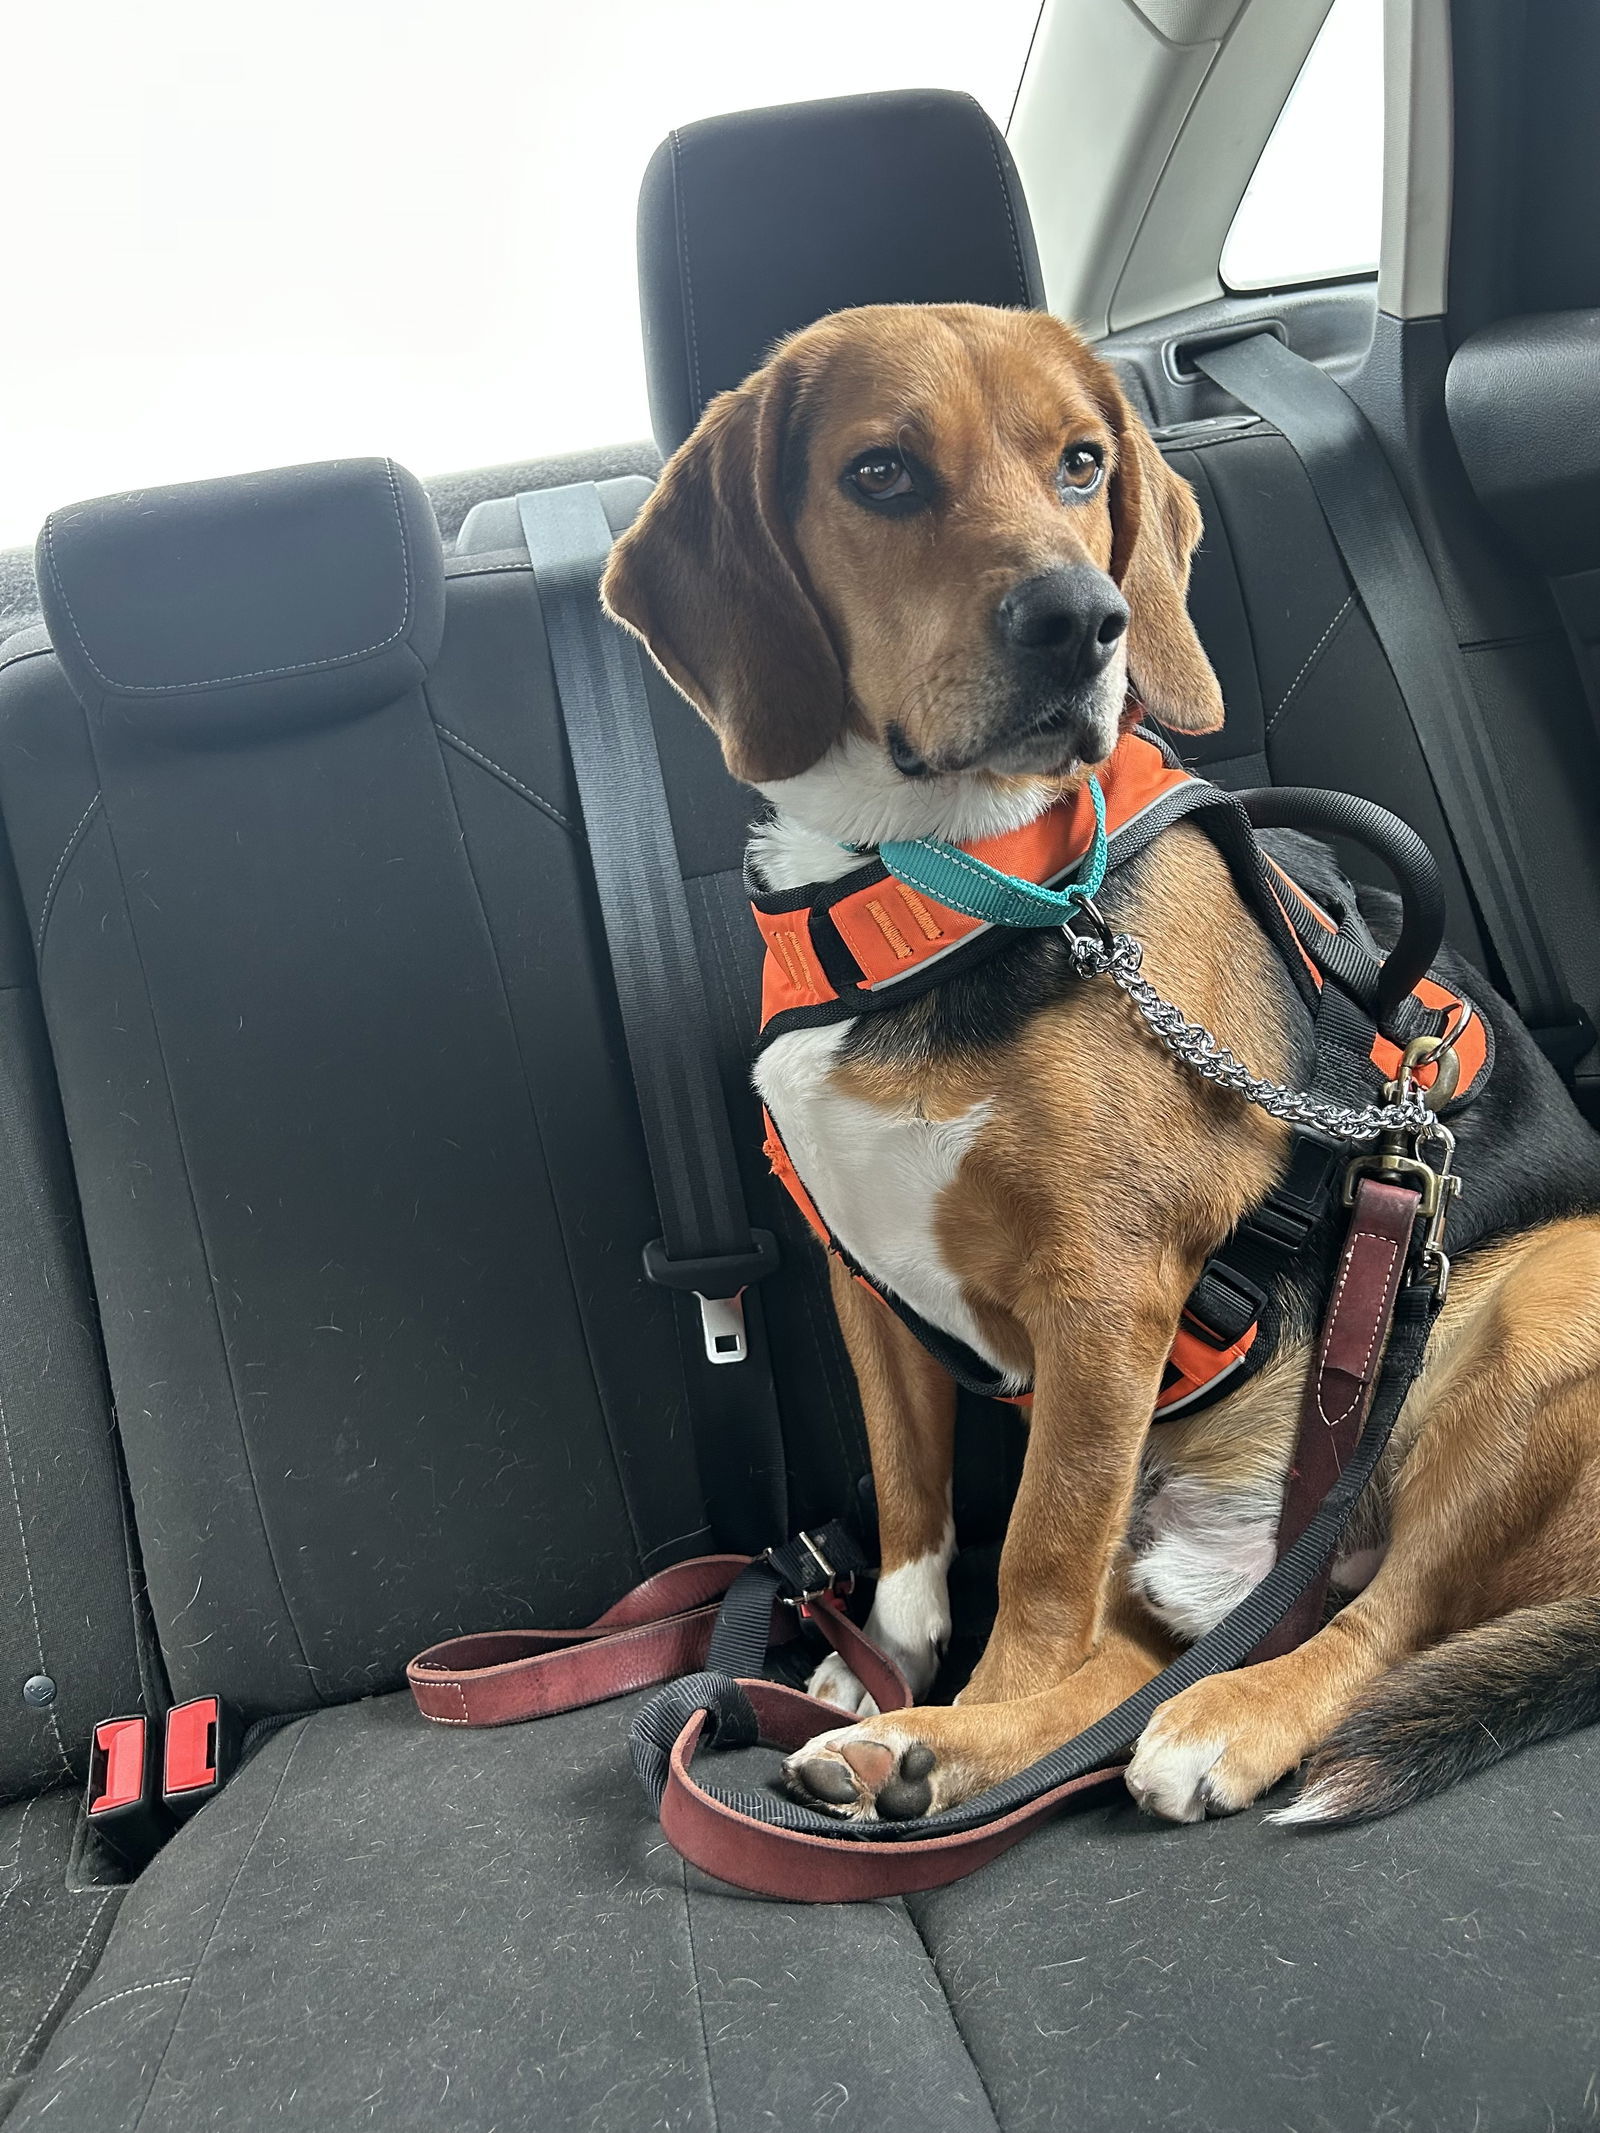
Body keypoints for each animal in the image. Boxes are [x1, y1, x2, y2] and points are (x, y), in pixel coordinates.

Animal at [601, 300, 1600, 1825]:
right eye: (881, 474)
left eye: (1081, 463)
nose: (1085, 622)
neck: (939, 879)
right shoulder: (863, 1283)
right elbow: (915, 1516)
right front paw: (887, 1678)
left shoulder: (1105, 1294)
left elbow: (1035, 1560)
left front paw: (965, 1707)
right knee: (1136, 1668)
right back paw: (918, 1750)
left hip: (1543, 1310)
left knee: (1379, 1623)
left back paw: (1206, 1722)